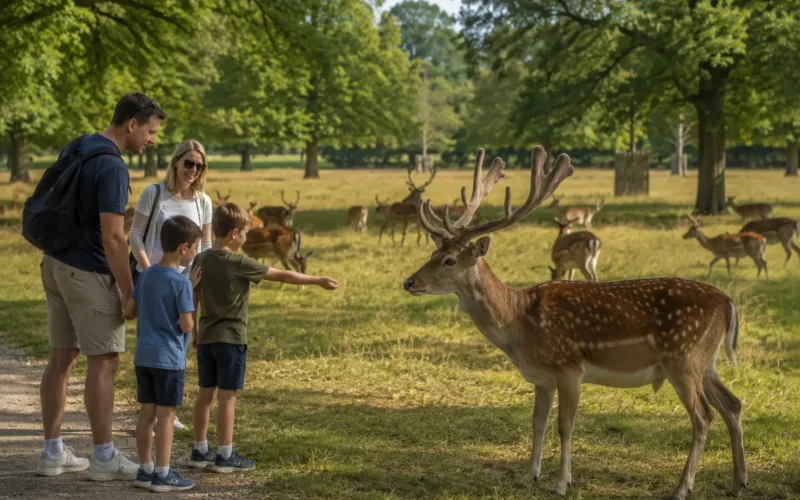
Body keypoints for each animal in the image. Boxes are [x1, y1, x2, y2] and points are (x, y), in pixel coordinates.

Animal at [402, 146, 746, 500]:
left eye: (449, 260)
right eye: (432, 254)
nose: (409, 282)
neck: (519, 324)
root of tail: (728, 302)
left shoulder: (569, 367)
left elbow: (565, 425)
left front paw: (561, 483)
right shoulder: (541, 378)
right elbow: (537, 422)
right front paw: (529, 476)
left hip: (683, 358)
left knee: (703, 416)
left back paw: (682, 488)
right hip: (706, 361)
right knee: (733, 404)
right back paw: (738, 481)